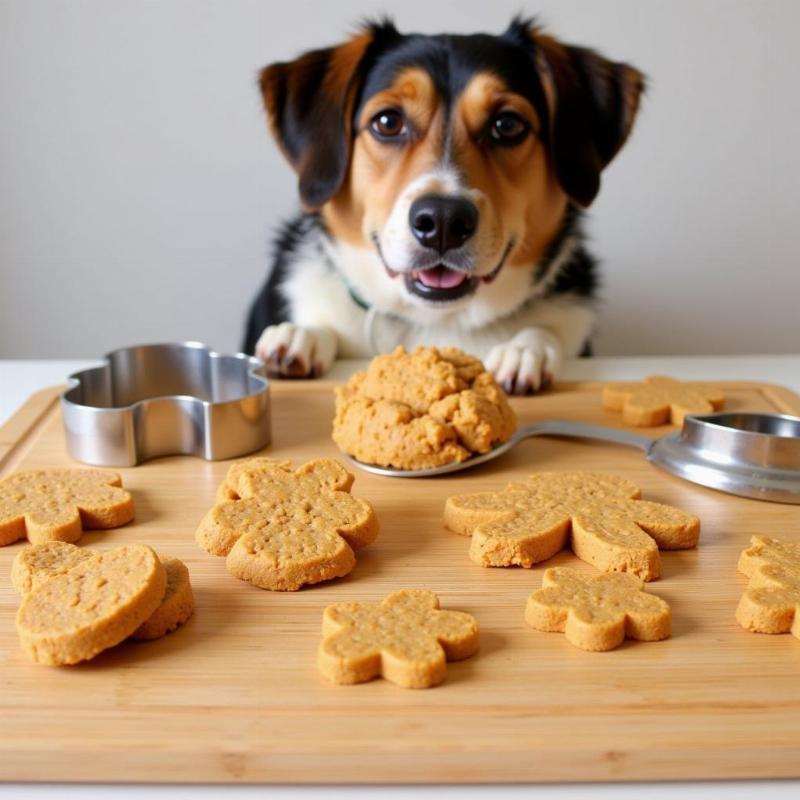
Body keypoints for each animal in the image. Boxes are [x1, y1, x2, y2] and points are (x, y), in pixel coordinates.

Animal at [244, 16, 644, 394]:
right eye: (387, 121)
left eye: (507, 124)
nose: (443, 221)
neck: (438, 321)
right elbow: (319, 327)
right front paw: (301, 336)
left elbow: (544, 330)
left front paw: (526, 349)